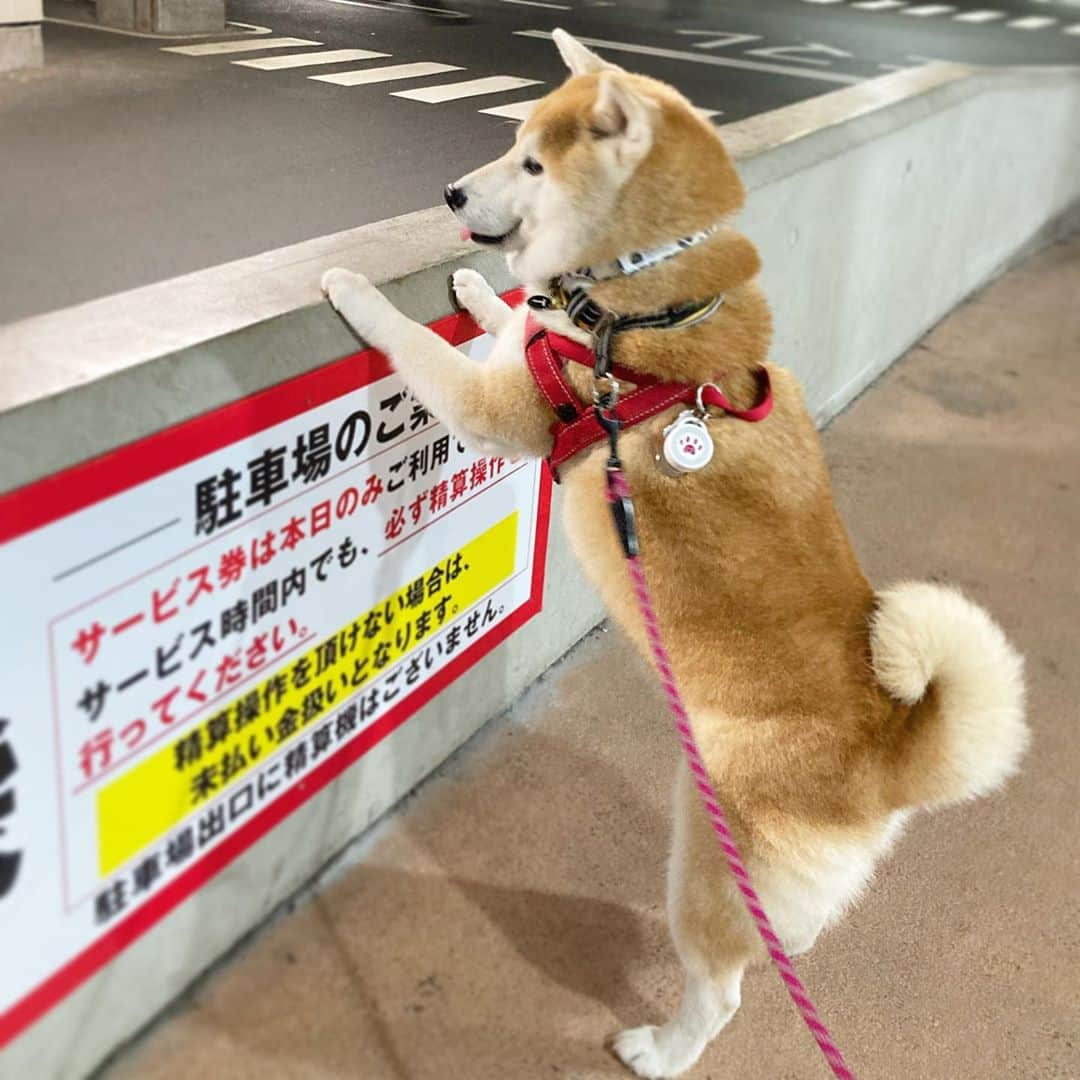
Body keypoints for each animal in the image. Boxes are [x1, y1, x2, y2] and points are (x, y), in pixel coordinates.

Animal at [319, 31, 1028, 1080]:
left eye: (532, 164)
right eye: (511, 143)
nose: (448, 193)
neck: (637, 307)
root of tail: (891, 755)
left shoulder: (500, 407)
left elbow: (420, 345)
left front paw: (358, 291)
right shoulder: (540, 342)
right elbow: (512, 315)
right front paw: (482, 290)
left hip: (705, 863)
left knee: (722, 992)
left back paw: (658, 1048)